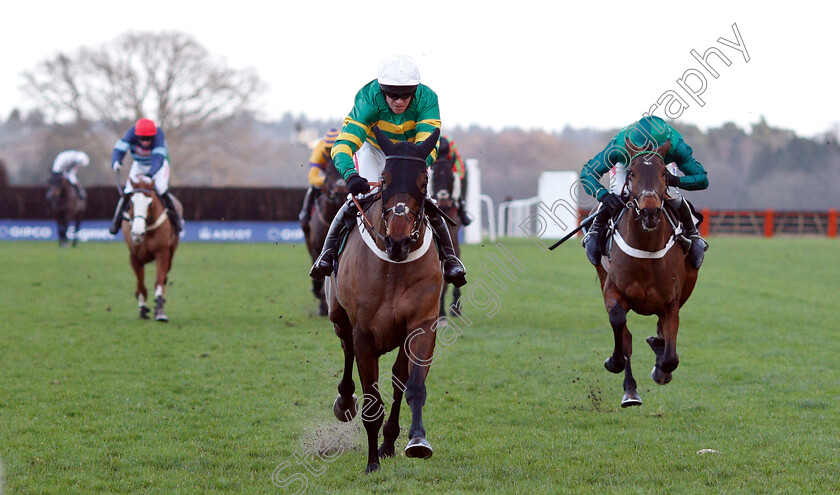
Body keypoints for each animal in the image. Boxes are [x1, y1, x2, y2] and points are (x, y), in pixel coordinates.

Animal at [120, 177, 180, 322]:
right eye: (131, 201)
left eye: (150, 202)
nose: (137, 233)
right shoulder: (134, 257)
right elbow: (141, 284)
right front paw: (142, 308)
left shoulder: (162, 253)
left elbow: (159, 282)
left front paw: (160, 311)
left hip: (171, 254)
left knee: (164, 278)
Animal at [326, 127, 446, 472]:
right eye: (385, 178)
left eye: (423, 181)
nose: (399, 241)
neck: (394, 267)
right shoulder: (364, 333)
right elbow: (371, 403)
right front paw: (371, 464)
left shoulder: (421, 326)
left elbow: (412, 386)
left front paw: (416, 441)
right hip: (339, 317)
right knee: (346, 351)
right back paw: (345, 401)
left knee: (397, 379)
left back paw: (390, 443)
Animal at [596, 139, 704, 406]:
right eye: (632, 173)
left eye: (664, 173)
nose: (650, 212)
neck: (647, 250)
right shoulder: (612, 289)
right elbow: (619, 325)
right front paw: (613, 362)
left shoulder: (672, 300)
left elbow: (671, 356)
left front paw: (661, 368)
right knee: (627, 336)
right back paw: (630, 391)